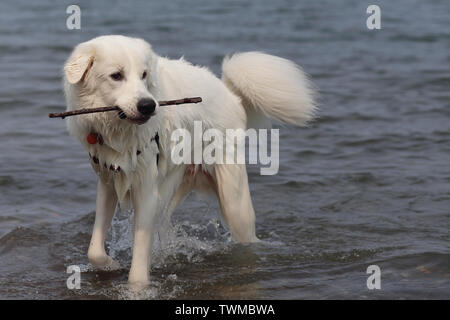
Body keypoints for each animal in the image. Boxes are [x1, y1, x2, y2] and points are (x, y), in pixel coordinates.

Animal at [63, 35, 316, 284]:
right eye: (116, 76)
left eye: (144, 75)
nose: (148, 106)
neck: (119, 131)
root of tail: (229, 92)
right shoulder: (108, 182)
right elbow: (94, 250)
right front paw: (109, 264)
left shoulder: (146, 191)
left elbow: (137, 270)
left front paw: (137, 288)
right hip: (173, 187)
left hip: (235, 203)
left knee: (248, 237)